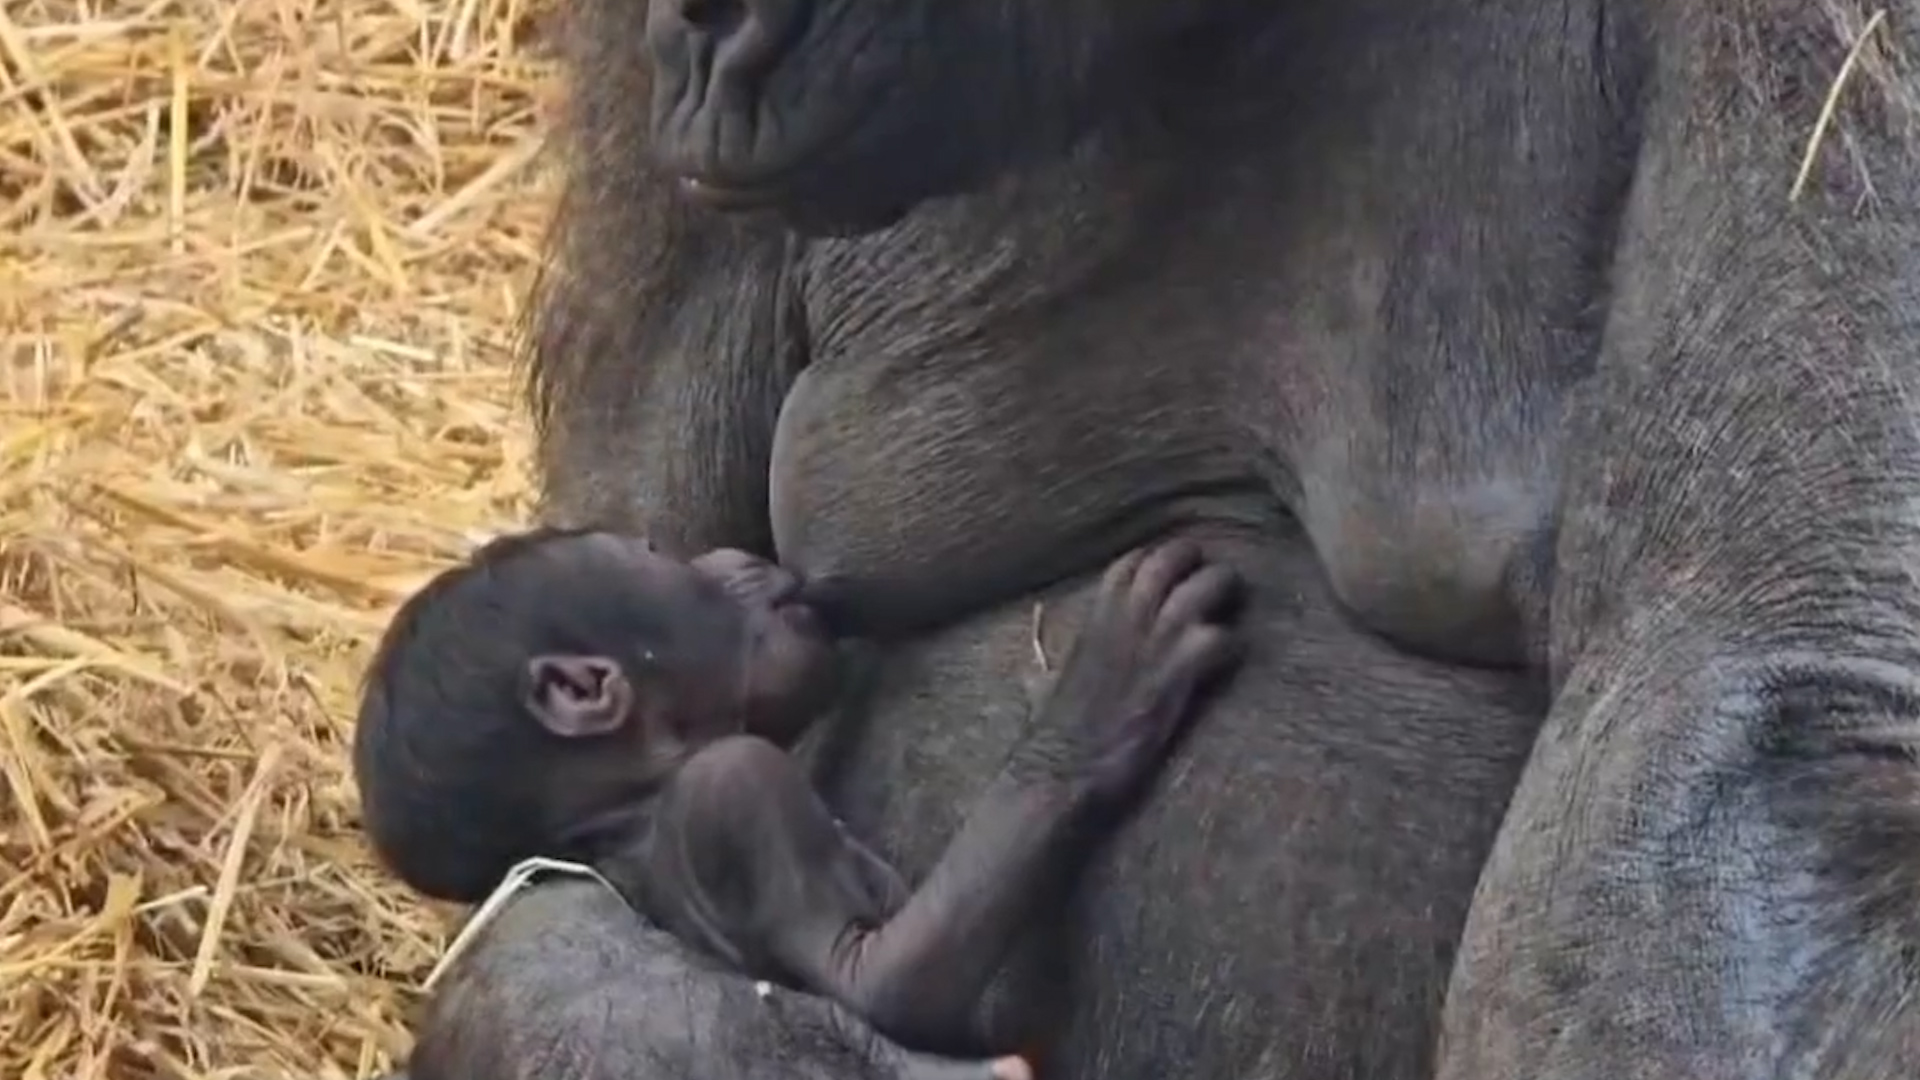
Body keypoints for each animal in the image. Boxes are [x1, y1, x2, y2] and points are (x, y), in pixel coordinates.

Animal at [354, 531, 1244, 1063]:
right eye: (658, 561)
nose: (724, 557)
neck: (634, 797)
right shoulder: (738, 791)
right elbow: (880, 982)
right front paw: (1103, 698)